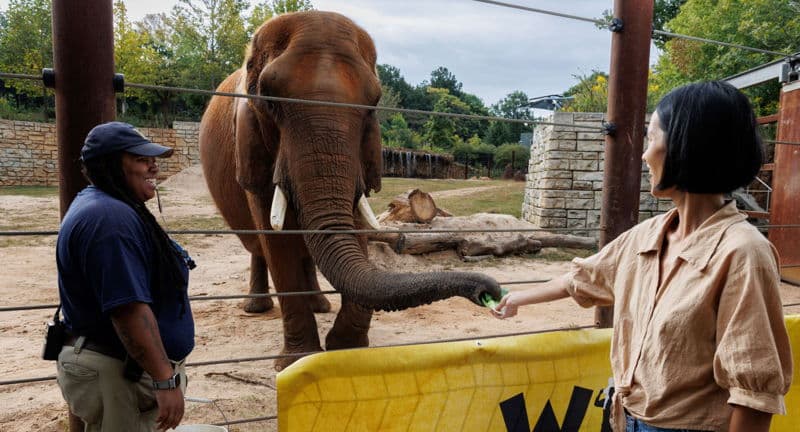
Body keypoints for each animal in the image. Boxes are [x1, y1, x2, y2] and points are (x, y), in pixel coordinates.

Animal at [198, 11, 501, 370]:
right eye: (269, 101)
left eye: (374, 103)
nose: (492, 292)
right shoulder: (250, 145)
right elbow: (276, 240)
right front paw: (297, 362)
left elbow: (357, 227)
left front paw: (345, 349)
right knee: (258, 245)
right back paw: (256, 309)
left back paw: (320, 306)